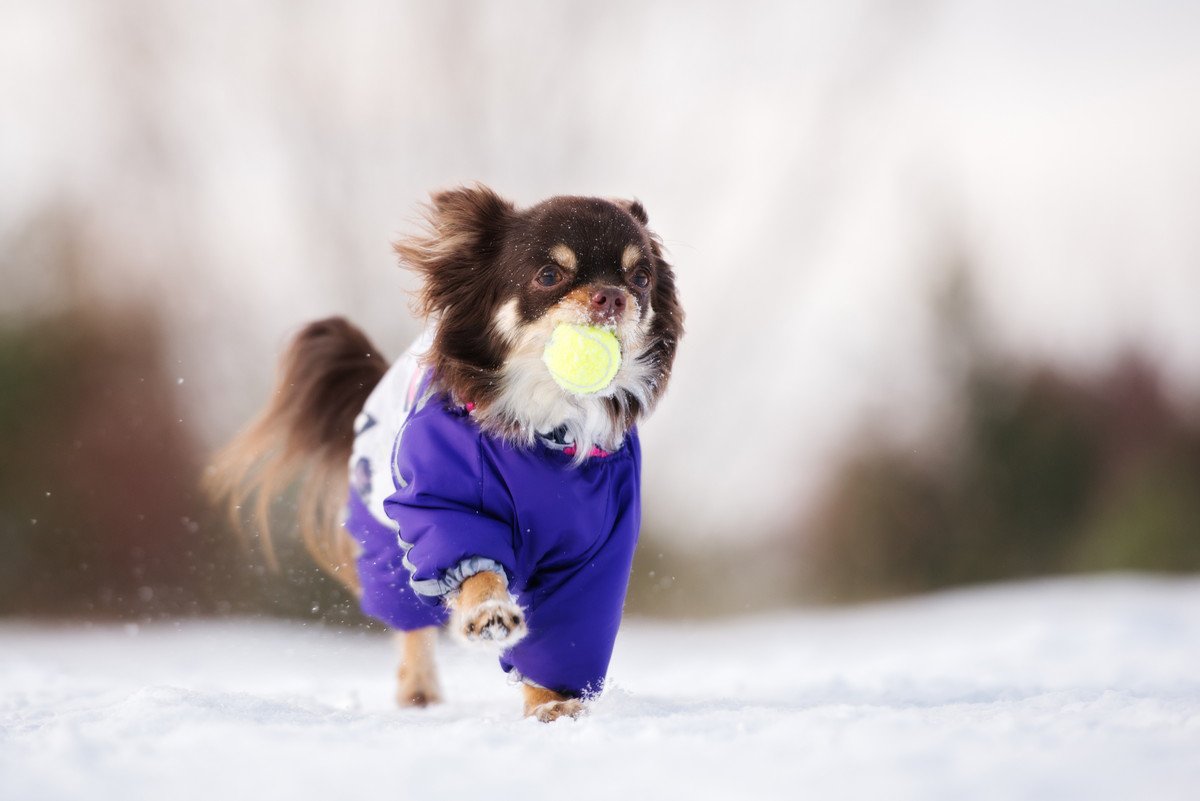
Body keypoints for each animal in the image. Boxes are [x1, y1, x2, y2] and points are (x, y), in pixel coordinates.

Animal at [206, 184, 686, 724]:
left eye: (641, 278)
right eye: (549, 275)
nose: (614, 295)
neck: (545, 431)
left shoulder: (597, 551)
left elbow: (567, 636)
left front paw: (552, 705)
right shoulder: (447, 509)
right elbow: (474, 569)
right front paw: (489, 614)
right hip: (384, 548)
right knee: (411, 620)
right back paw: (419, 691)